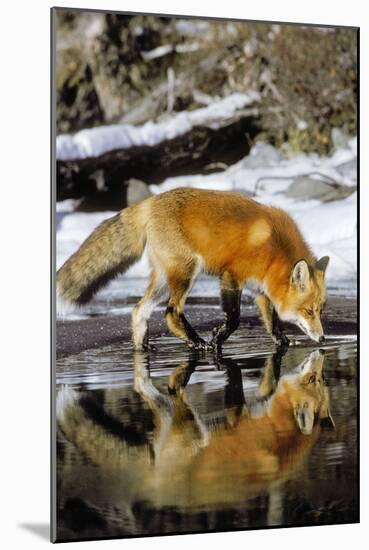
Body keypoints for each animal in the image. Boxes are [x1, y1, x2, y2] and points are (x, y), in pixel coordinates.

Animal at [56, 188, 328, 352]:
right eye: (308, 311)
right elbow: (234, 318)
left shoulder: (261, 289)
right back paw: (198, 343)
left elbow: (272, 322)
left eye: (320, 310)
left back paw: (142, 349)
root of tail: (149, 202)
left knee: (139, 310)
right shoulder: (231, 276)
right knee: (171, 312)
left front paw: (282, 342)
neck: (274, 249)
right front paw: (218, 338)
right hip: (187, 271)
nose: (323, 338)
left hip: (163, 279)